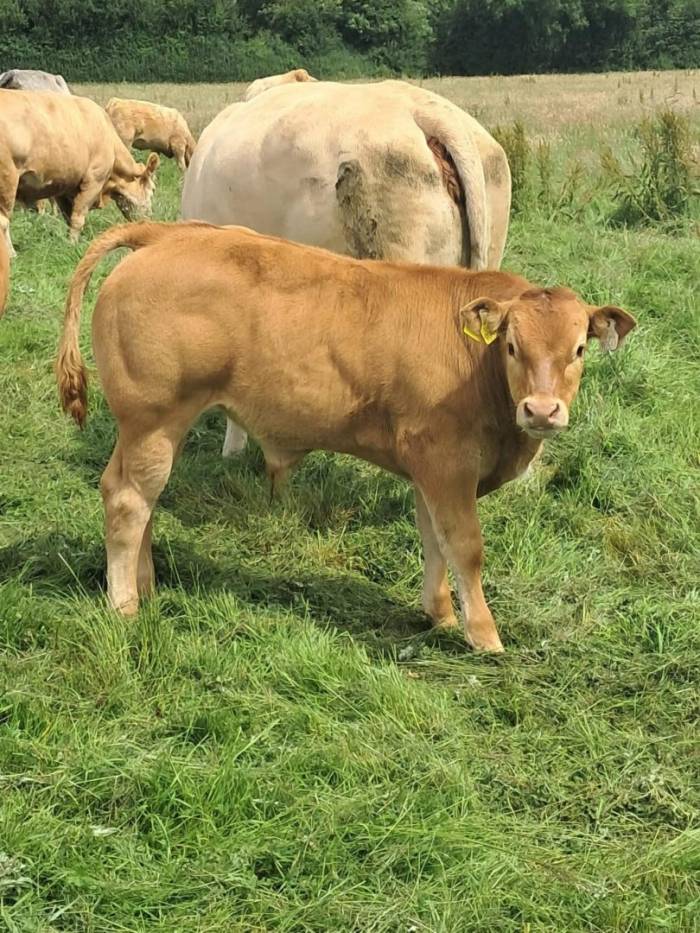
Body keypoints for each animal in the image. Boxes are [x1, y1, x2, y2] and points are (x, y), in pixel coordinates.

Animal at [0, 91, 159, 255]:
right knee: (3, 221)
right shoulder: (94, 181)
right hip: (7, 179)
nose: (150, 221)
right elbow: (78, 218)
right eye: (153, 189)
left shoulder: (64, 187)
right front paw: (73, 246)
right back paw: (12, 254)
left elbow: (68, 218)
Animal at [56, 222, 636, 652]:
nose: (542, 410)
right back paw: (125, 605)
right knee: (130, 501)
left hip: (150, 430)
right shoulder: (448, 463)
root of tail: (166, 234)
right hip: (153, 420)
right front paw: (484, 635)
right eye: (512, 346)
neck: (478, 366)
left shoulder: (428, 469)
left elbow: (433, 538)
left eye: (578, 349)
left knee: (135, 496)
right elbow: (465, 546)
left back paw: (145, 584)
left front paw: (440, 614)